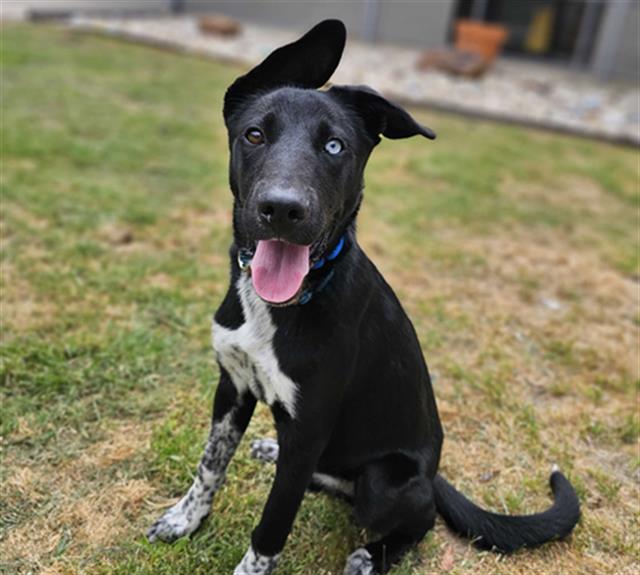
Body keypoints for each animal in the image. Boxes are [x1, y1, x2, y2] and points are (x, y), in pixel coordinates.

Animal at [149, 20, 580, 572]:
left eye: (335, 147)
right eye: (254, 134)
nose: (282, 209)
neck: (282, 305)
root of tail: (432, 475)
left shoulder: (310, 426)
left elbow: (272, 524)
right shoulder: (233, 388)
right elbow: (210, 465)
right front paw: (185, 519)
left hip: (386, 481)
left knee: (414, 520)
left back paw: (369, 556)